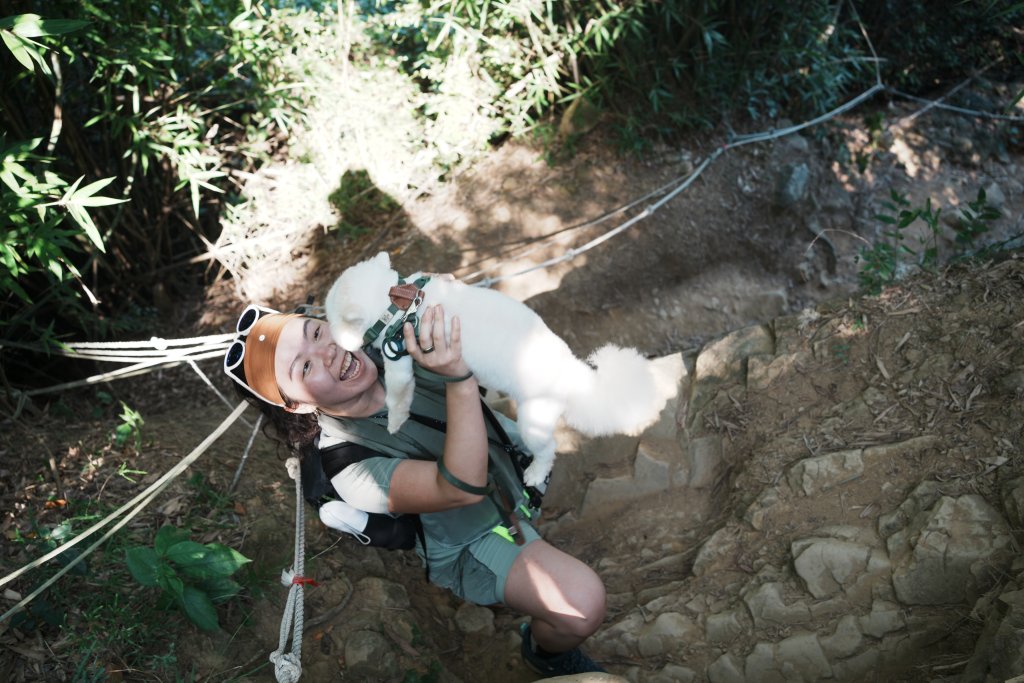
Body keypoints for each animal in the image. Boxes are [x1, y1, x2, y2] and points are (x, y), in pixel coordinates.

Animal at [327, 250, 679, 485]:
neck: (398, 300)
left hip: (533, 422)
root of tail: (575, 375)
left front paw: (395, 422)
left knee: (550, 449)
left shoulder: (399, 359)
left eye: (330, 320)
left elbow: (397, 397)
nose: (330, 338)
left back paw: (535, 473)